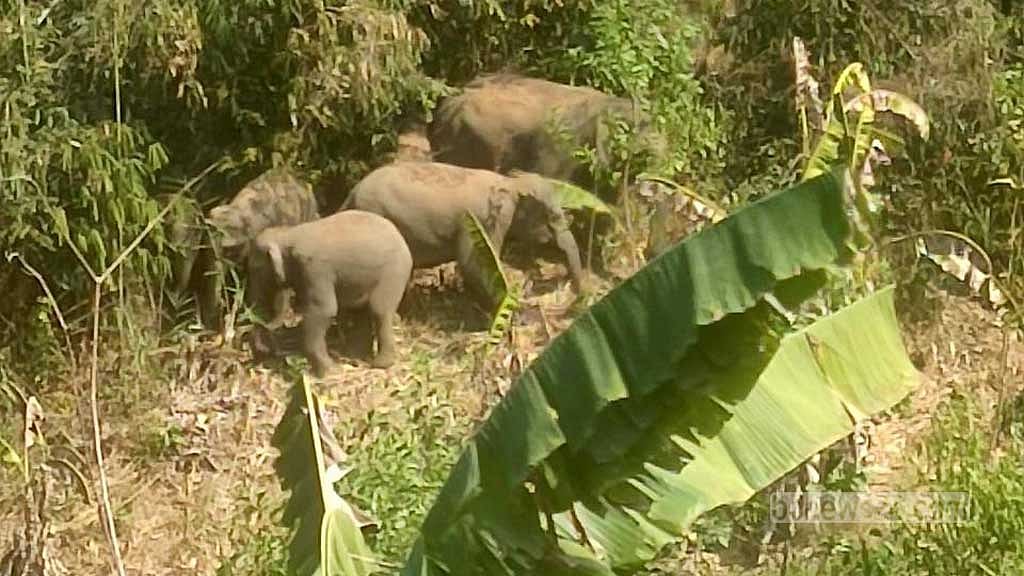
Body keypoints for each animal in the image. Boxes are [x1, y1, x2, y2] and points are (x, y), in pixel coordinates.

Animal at [247, 210, 413, 376]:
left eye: (255, 268)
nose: (261, 351)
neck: (287, 233)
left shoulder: (315, 268)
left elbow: (324, 311)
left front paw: (329, 371)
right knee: (361, 311)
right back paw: (355, 357)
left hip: (394, 272)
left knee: (379, 310)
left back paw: (380, 364)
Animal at [339, 161, 584, 296]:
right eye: (553, 216)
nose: (577, 292)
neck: (511, 183)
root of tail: (353, 192)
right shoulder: (483, 220)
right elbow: (475, 262)